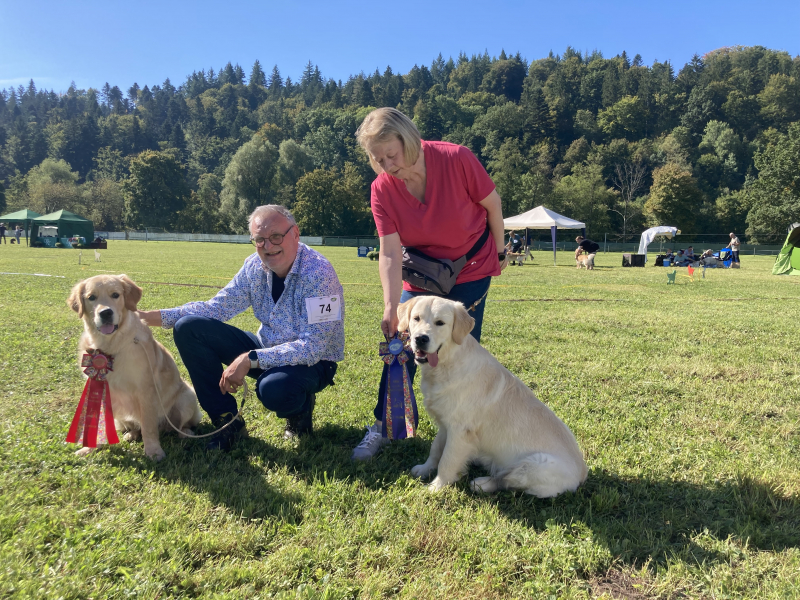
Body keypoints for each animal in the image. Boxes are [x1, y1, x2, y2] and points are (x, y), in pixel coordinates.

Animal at [67, 274, 201, 460]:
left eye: (115, 295)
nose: (106, 312)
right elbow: (100, 421)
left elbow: (149, 427)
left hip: (187, 398)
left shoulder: (145, 390)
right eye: (91, 297)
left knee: (179, 425)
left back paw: (185, 433)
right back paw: (131, 434)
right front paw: (91, 448)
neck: (111, 346)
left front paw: (153, 452)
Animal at [399, 296, 588, 496]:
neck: (448, 362)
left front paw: (435, 488)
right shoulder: (445, 424)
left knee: (506, 480)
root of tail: (583, 472)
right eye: (416, 318)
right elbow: (435, 449)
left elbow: (447, 461)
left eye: (440, 323)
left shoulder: (460, 430)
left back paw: (481, 483)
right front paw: (424, 469)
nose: (420, 339)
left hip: (535, 465)